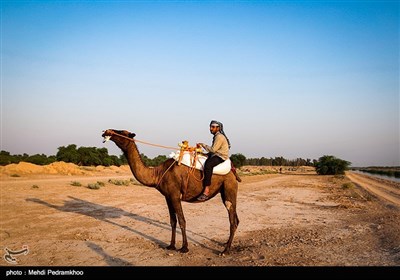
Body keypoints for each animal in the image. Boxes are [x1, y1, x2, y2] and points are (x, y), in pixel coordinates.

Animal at [101, 129, 239, 254]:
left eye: (122, 132)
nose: (106, 131)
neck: (158, 173)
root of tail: (233, 170)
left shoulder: (175, 195)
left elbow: (182, 221)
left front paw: (184, 248)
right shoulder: (167, 197)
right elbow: (173, 221)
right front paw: (171, 245)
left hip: (229, 187)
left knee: (232, 220)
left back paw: (225, 250)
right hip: (224, 192)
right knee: (236, 219)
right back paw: (226, 244)